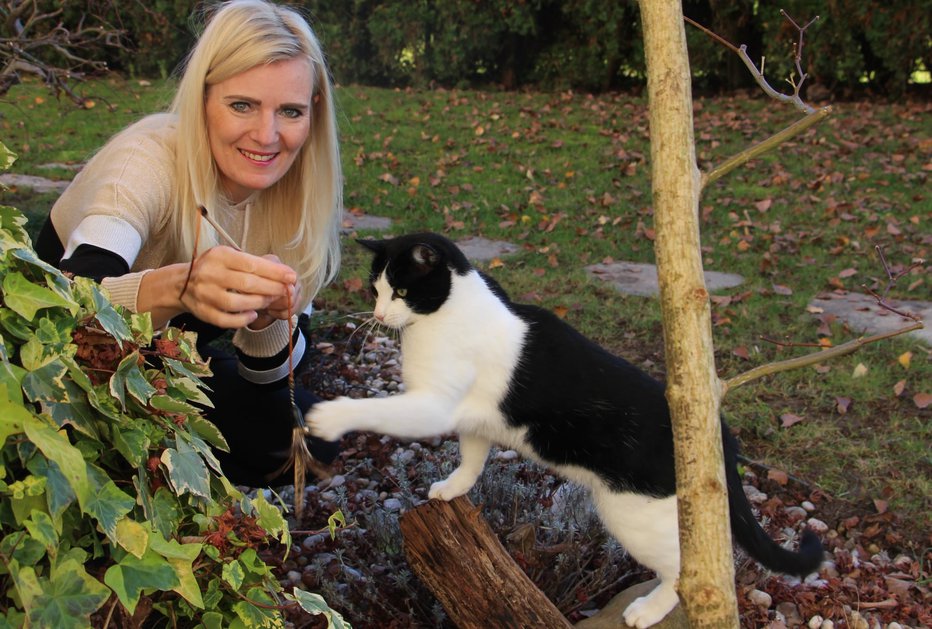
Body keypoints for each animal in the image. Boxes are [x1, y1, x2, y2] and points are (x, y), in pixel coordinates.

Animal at [308, 232, 824, 628]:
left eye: (399, 291)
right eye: (374, 290)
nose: (379, 316)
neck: (443, 317)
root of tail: (722, 435)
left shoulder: (432, 405)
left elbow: (377, 410)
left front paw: (329, 417)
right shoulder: (474, 419)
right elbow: (472, 458)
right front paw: (453, 488)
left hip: (632, 514)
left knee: (691, 574)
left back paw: (648, 609)